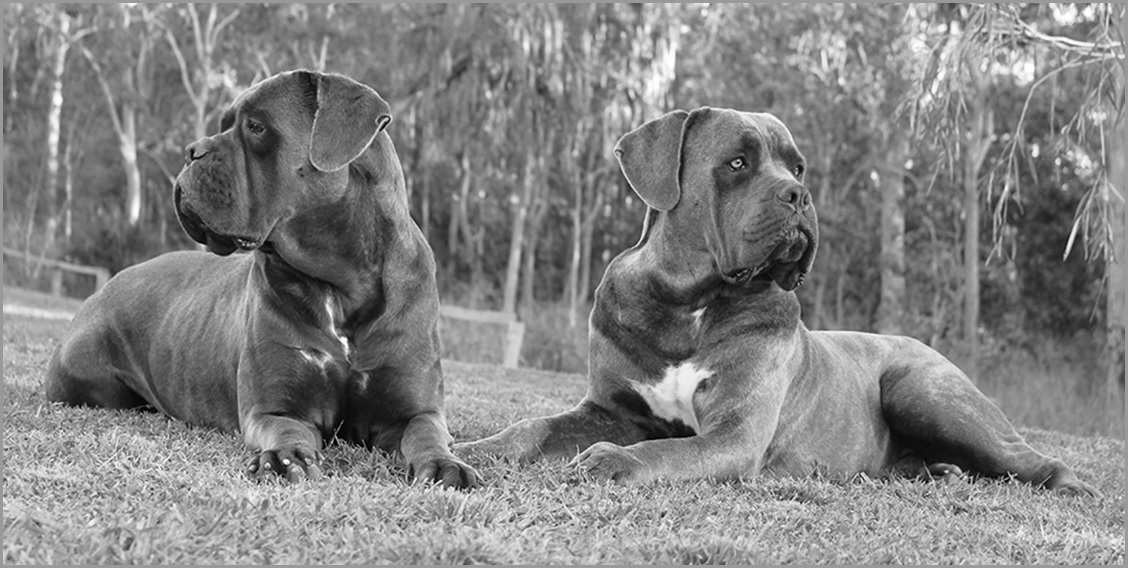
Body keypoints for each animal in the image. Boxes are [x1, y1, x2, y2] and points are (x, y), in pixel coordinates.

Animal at [46, 69, 478, 489]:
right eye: (224, 125)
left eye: (256, 127)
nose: (191, 150)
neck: (341, 284)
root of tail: (108, 284)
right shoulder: (273, 408)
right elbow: (288, 431)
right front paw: (285, 459)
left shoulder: (415, 411)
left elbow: (425, 433)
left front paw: (445, 464)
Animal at [453, 107, 1096, 495]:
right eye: (737, 163)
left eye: (797, 166)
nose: (800, 195)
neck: (689, 302)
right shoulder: (610, 409)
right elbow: (534, 426)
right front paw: (478, 447)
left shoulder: (734, 436)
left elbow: (668, 453)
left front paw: (613, 460)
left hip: (923, 391)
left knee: (1034, 459)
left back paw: (1068, 487)